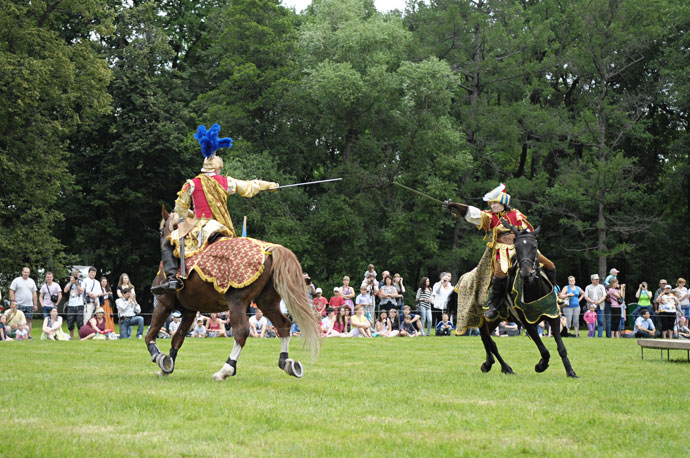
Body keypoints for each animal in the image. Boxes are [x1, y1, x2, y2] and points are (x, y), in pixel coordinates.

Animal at [148, 207, 320, 380]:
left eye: (161, 230)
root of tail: (269, 250)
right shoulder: (190, 311)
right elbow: (177, 338)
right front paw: (167, 366)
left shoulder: (164, 304)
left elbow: (150, 334)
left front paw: (159, 357)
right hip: (267, 302)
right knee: (283, 324)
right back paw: (287, 362)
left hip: (237, 302)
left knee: (241, 332)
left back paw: (225, 370)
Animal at [478, 223, 576, 380]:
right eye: (516, 247)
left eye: (534, 247)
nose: (526, 273)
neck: (534, 289)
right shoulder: (527, 323)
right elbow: (544, 351)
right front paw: (541, 365)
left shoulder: (553, 316)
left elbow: (561, 348)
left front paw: (570, 371)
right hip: (484, 319)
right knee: (488, 340)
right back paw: (500, 366)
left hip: (495, 320)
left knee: (487, 340)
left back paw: (492, 364)